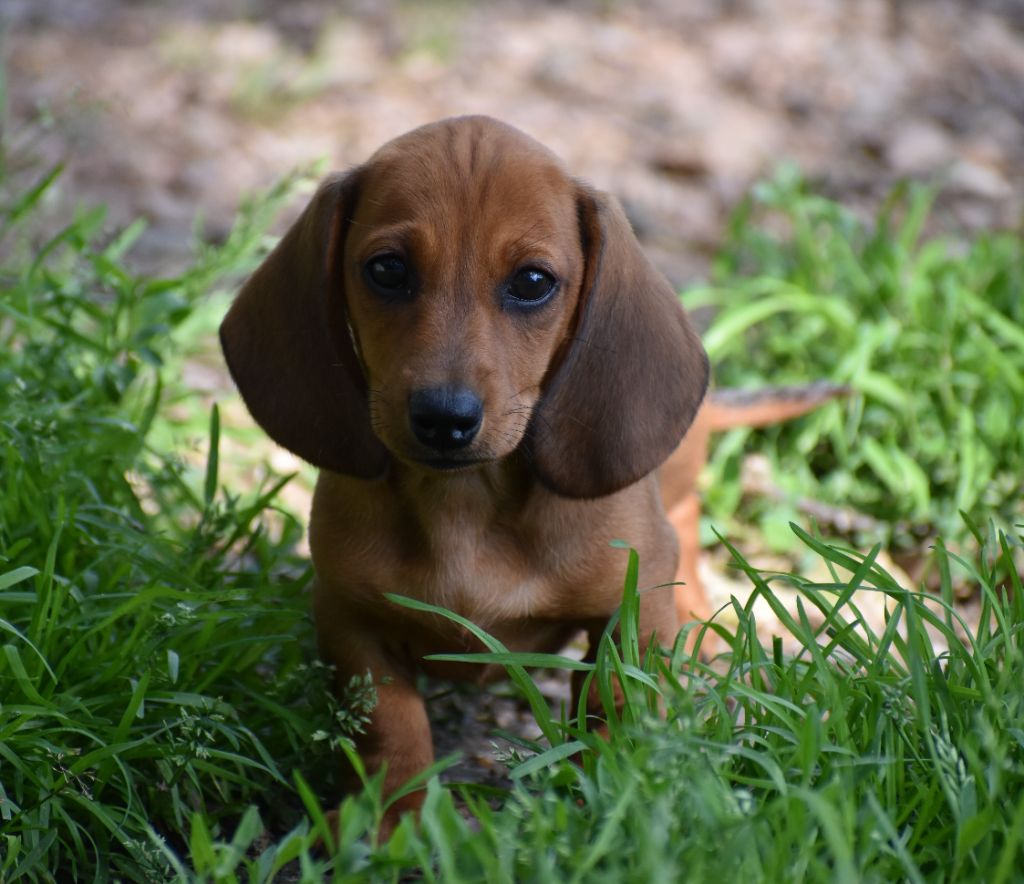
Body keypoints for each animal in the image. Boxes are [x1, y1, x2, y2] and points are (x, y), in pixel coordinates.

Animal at [220, 115, 708, 827]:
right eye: (387, 269)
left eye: (532, 281)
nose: (445, 419)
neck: (466, 504)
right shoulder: (347, 616)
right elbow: (388, 723)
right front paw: (391, 818)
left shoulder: (634, 602)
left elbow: (616, 701)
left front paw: (612, 797)